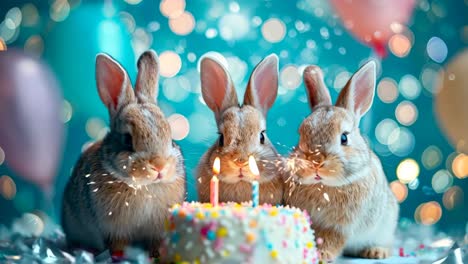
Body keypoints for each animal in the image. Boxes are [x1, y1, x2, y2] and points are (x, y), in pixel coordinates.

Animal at [61, 50, 186, 256]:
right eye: (127, 140)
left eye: (171, 138)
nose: (159, 166)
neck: (144, 186)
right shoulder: (114, 230)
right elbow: (117, 245)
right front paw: (119, 256)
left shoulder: (157, 230)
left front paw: (157, 255)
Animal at [282, 62, 398, 262]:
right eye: (301, 135)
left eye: (344, 138)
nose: (316, 162)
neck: (324, 186)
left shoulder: (340, 227)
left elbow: (332, 239)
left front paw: (321, 254)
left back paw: (376, 252)